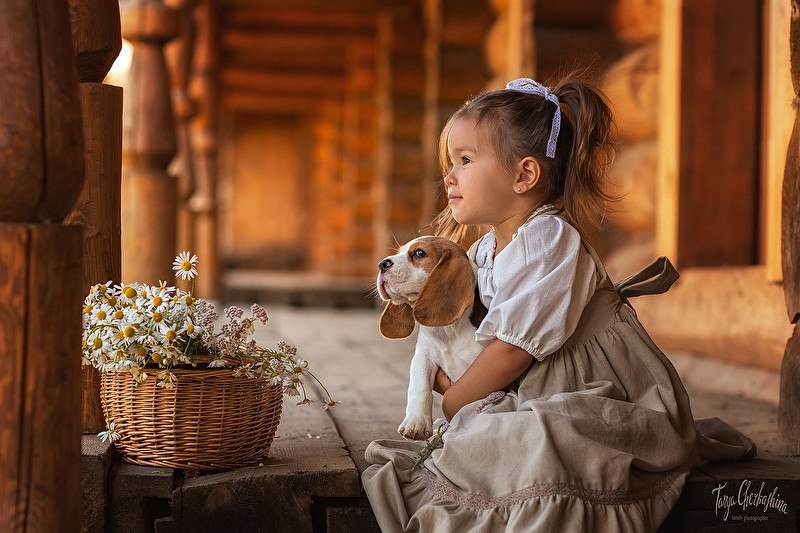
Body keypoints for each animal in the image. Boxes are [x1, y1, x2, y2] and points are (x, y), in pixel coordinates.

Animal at [380, 237, 484, 440]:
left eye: (419, 253)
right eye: (399, 251)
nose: (382, 264)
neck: (448, 331)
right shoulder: (423, 357)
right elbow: (419, 387)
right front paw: (416, 423)